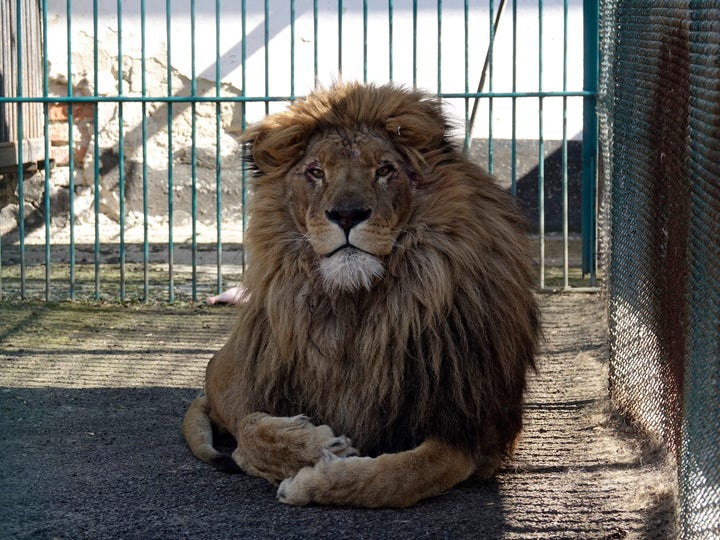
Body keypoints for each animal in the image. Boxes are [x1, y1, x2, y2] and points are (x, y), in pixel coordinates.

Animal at [183, 82, 536, 508]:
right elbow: (250, 432)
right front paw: (316, 447)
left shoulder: (474, 429)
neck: (359, 307)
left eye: (384, 170)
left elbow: (398, 476)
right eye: (316, 172)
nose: (347, 214)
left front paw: (312, 482)